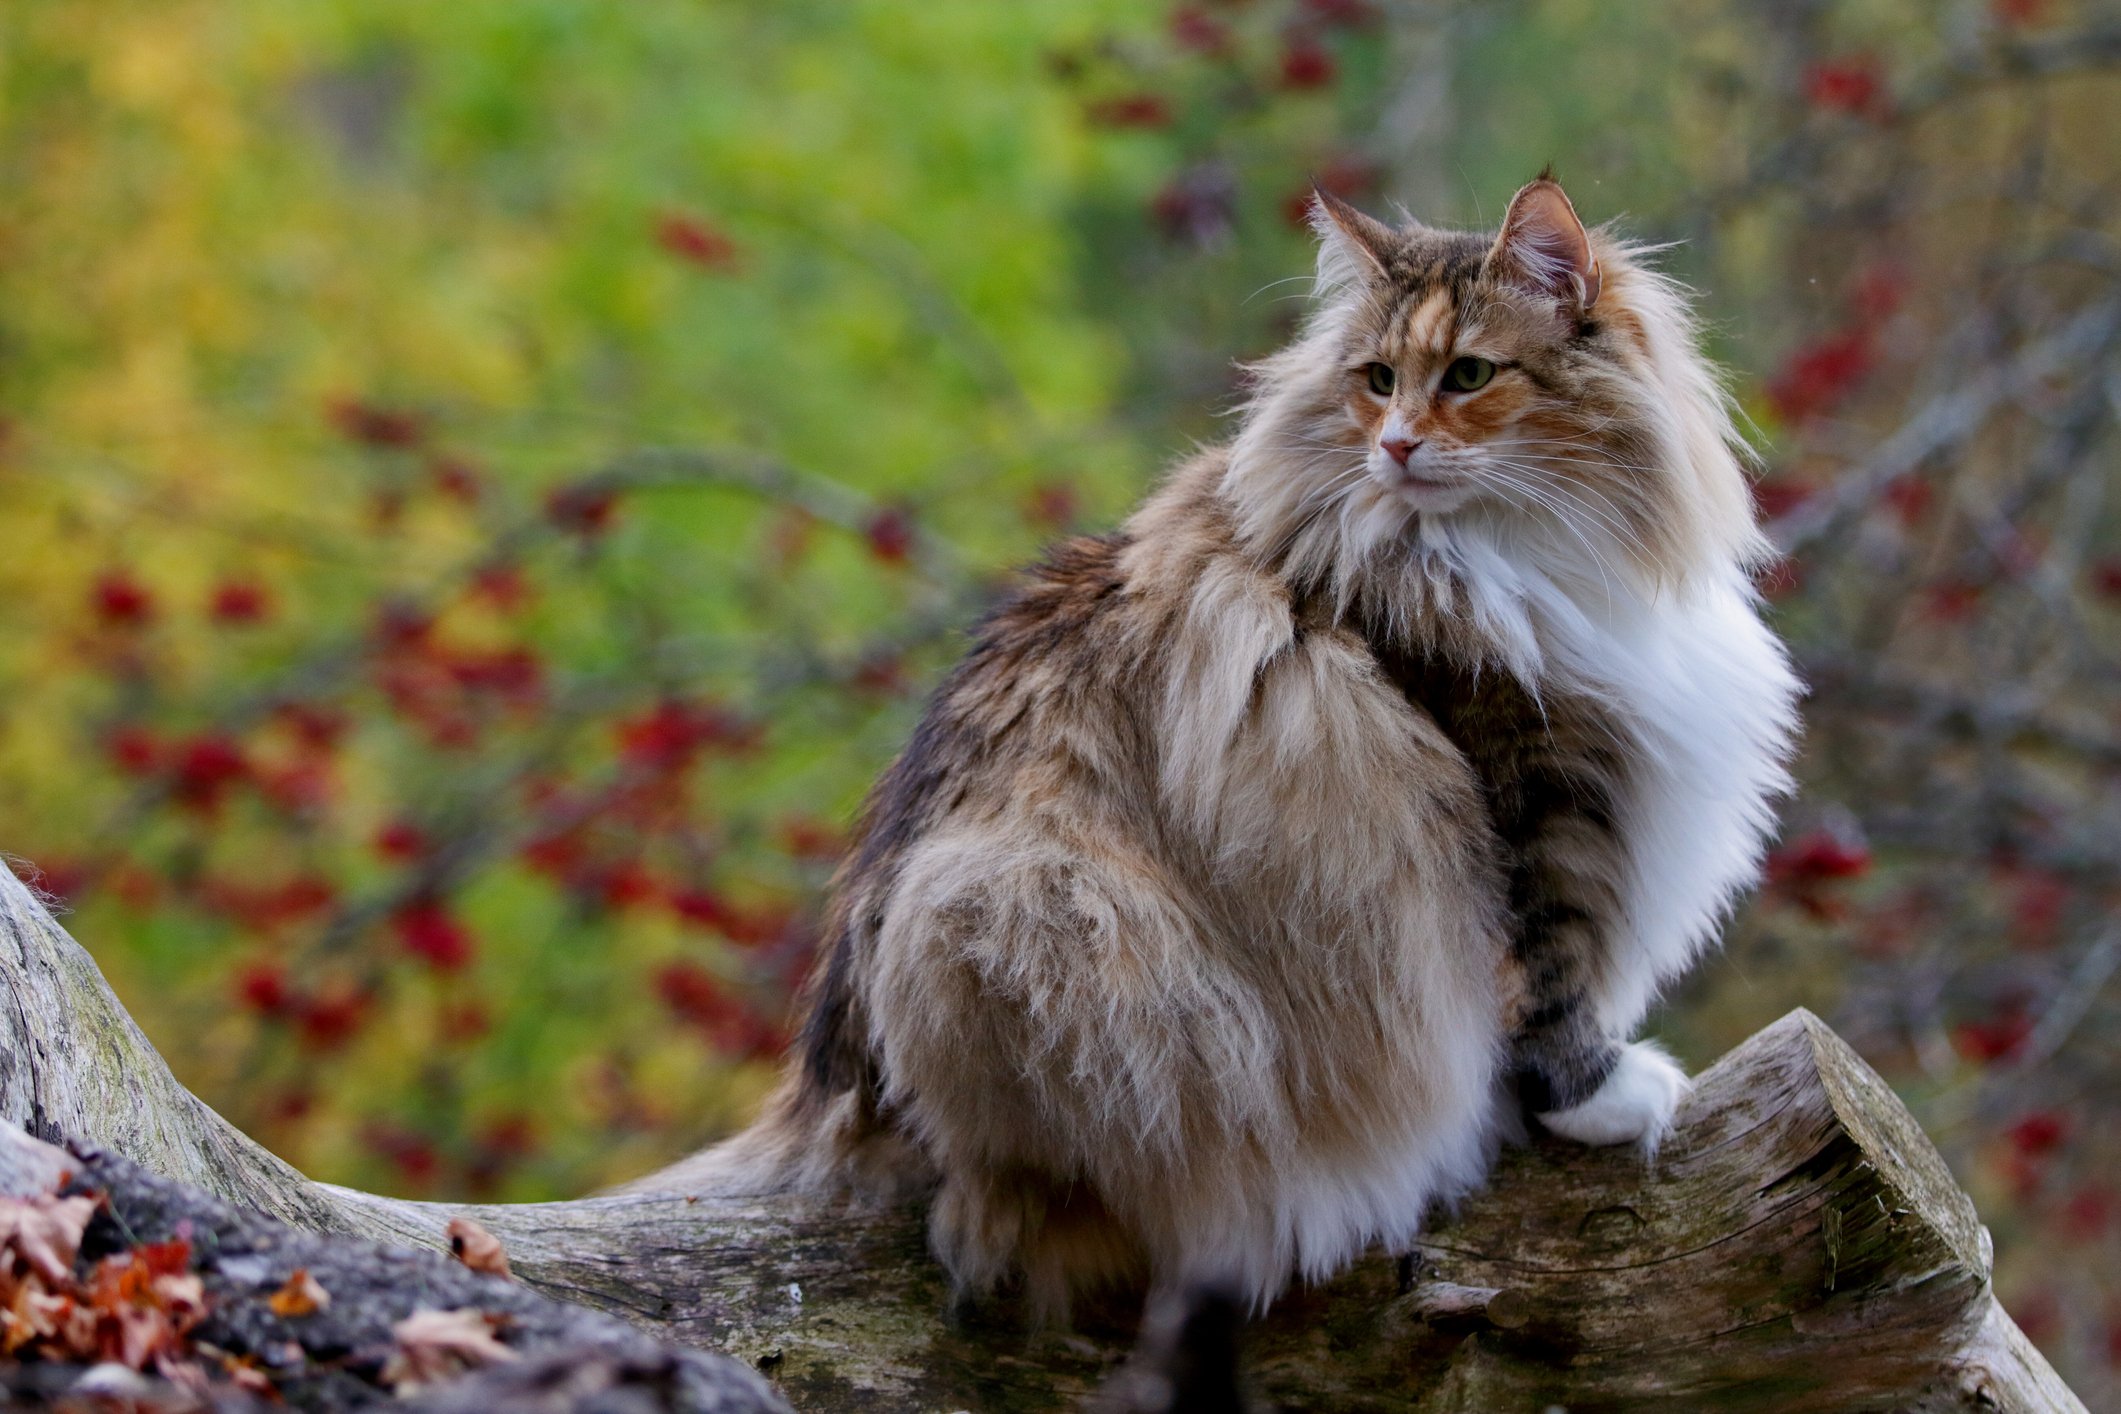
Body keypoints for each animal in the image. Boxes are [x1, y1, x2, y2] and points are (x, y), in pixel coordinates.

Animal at [636, 173, 1798, 1314]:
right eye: (1378, 379)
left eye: (1468, 374)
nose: (1395, 445)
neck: (1510, 555)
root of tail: (824, 1092)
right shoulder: (1532, 795)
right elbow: (1548, 980)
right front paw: (1605, 1099)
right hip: (1017, 902)